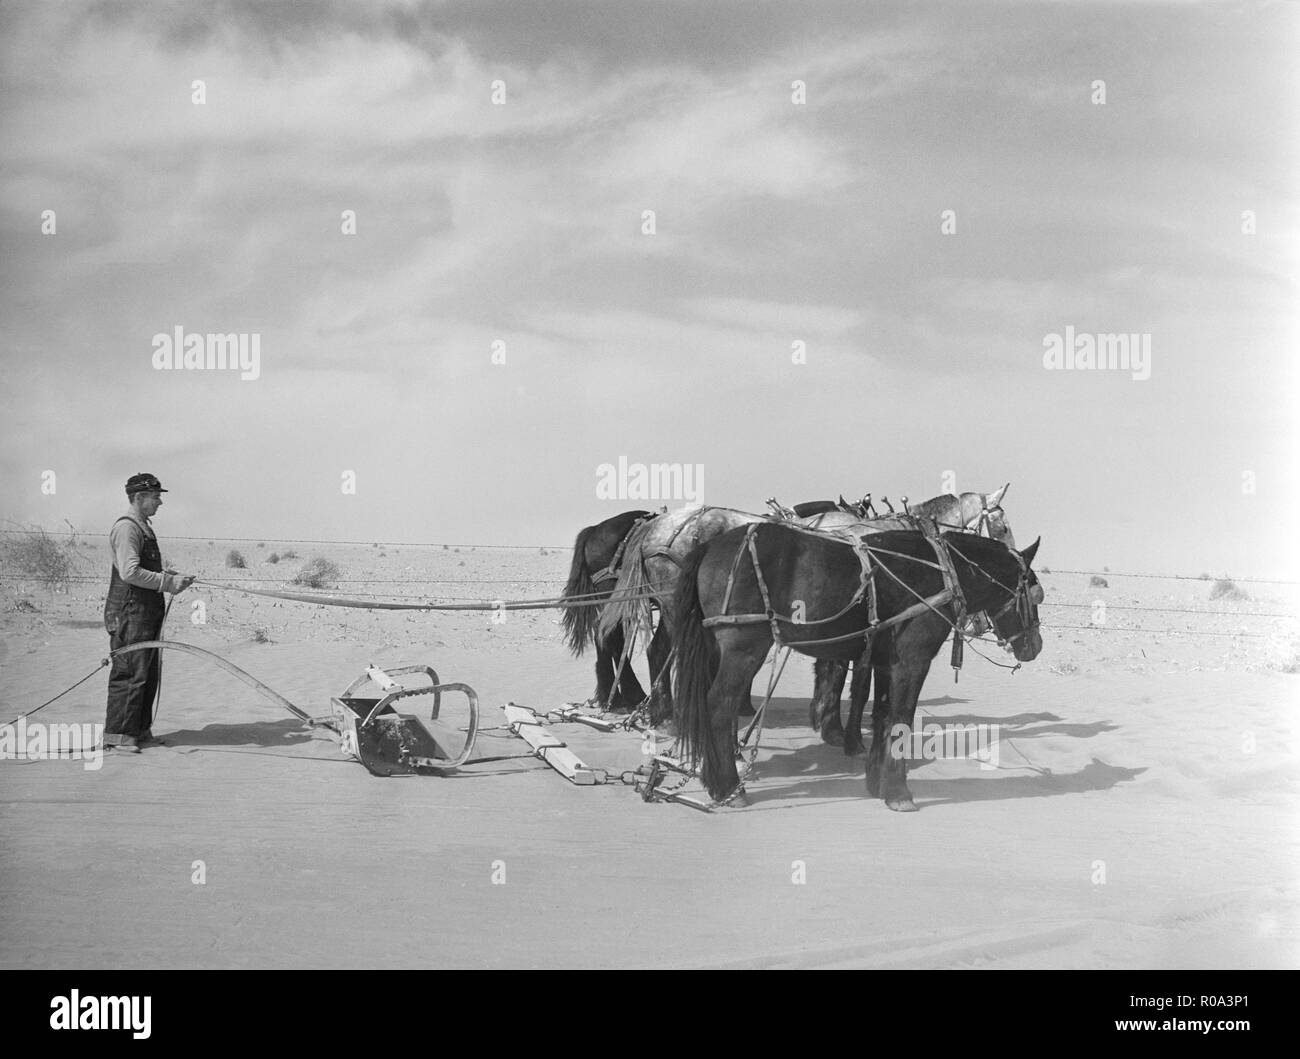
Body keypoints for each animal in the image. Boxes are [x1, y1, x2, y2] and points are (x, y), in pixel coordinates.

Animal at [676, 524, 1040, 810]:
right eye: (1037, 595)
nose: (1034, 646)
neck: (941, 571)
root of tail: (709, 546)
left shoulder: (885, 662)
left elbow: (881, 717)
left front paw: (878, 782)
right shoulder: (912, 662)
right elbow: (901, 719)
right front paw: (898, 792)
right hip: (743, 649)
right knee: (718, 707)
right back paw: (728, 787)